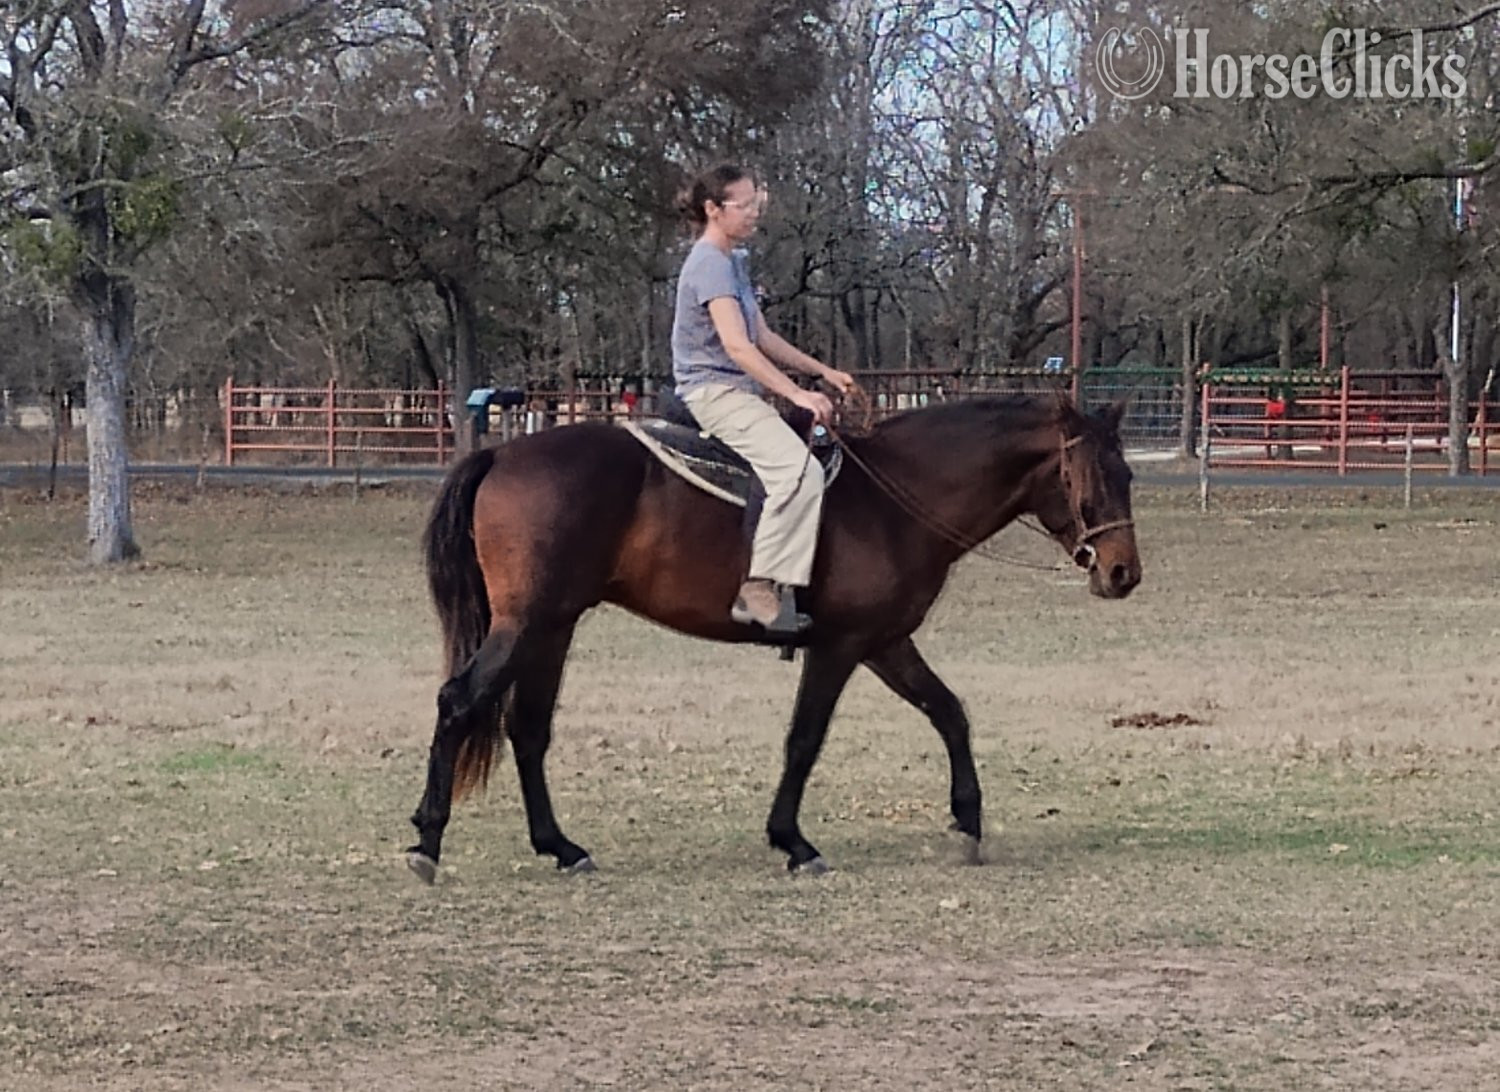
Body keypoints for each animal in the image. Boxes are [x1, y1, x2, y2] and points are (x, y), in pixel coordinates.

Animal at [407, 393, 1141, 881]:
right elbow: (804, 739)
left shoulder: (885, 643)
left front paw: (968, 820)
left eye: (1129, 474)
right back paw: (427, 842)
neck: (893, 501)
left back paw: (561, 847)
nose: (1123, 572)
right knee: (458, 702)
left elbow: (949, 713)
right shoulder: (841, 646)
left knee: (528, 730)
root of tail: (501, 452)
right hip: (526, 625)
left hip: (551, 628)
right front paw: (793, 842)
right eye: (1094, 479)